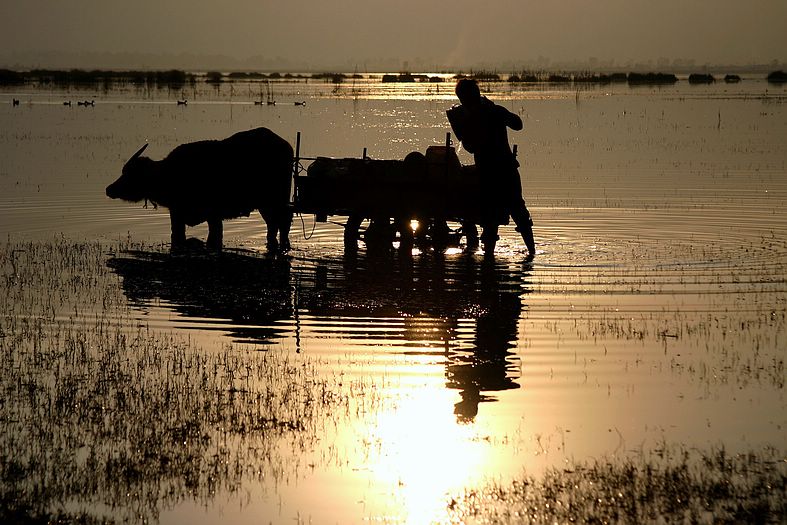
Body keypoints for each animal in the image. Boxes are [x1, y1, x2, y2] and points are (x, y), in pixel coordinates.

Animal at [107, 126, 296, 250]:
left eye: (129, 173)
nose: (109, 189)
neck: (167, 174)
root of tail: (286, 147)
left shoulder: (207, 214)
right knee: (276, 225)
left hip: (272, 202)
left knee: (281, 222)